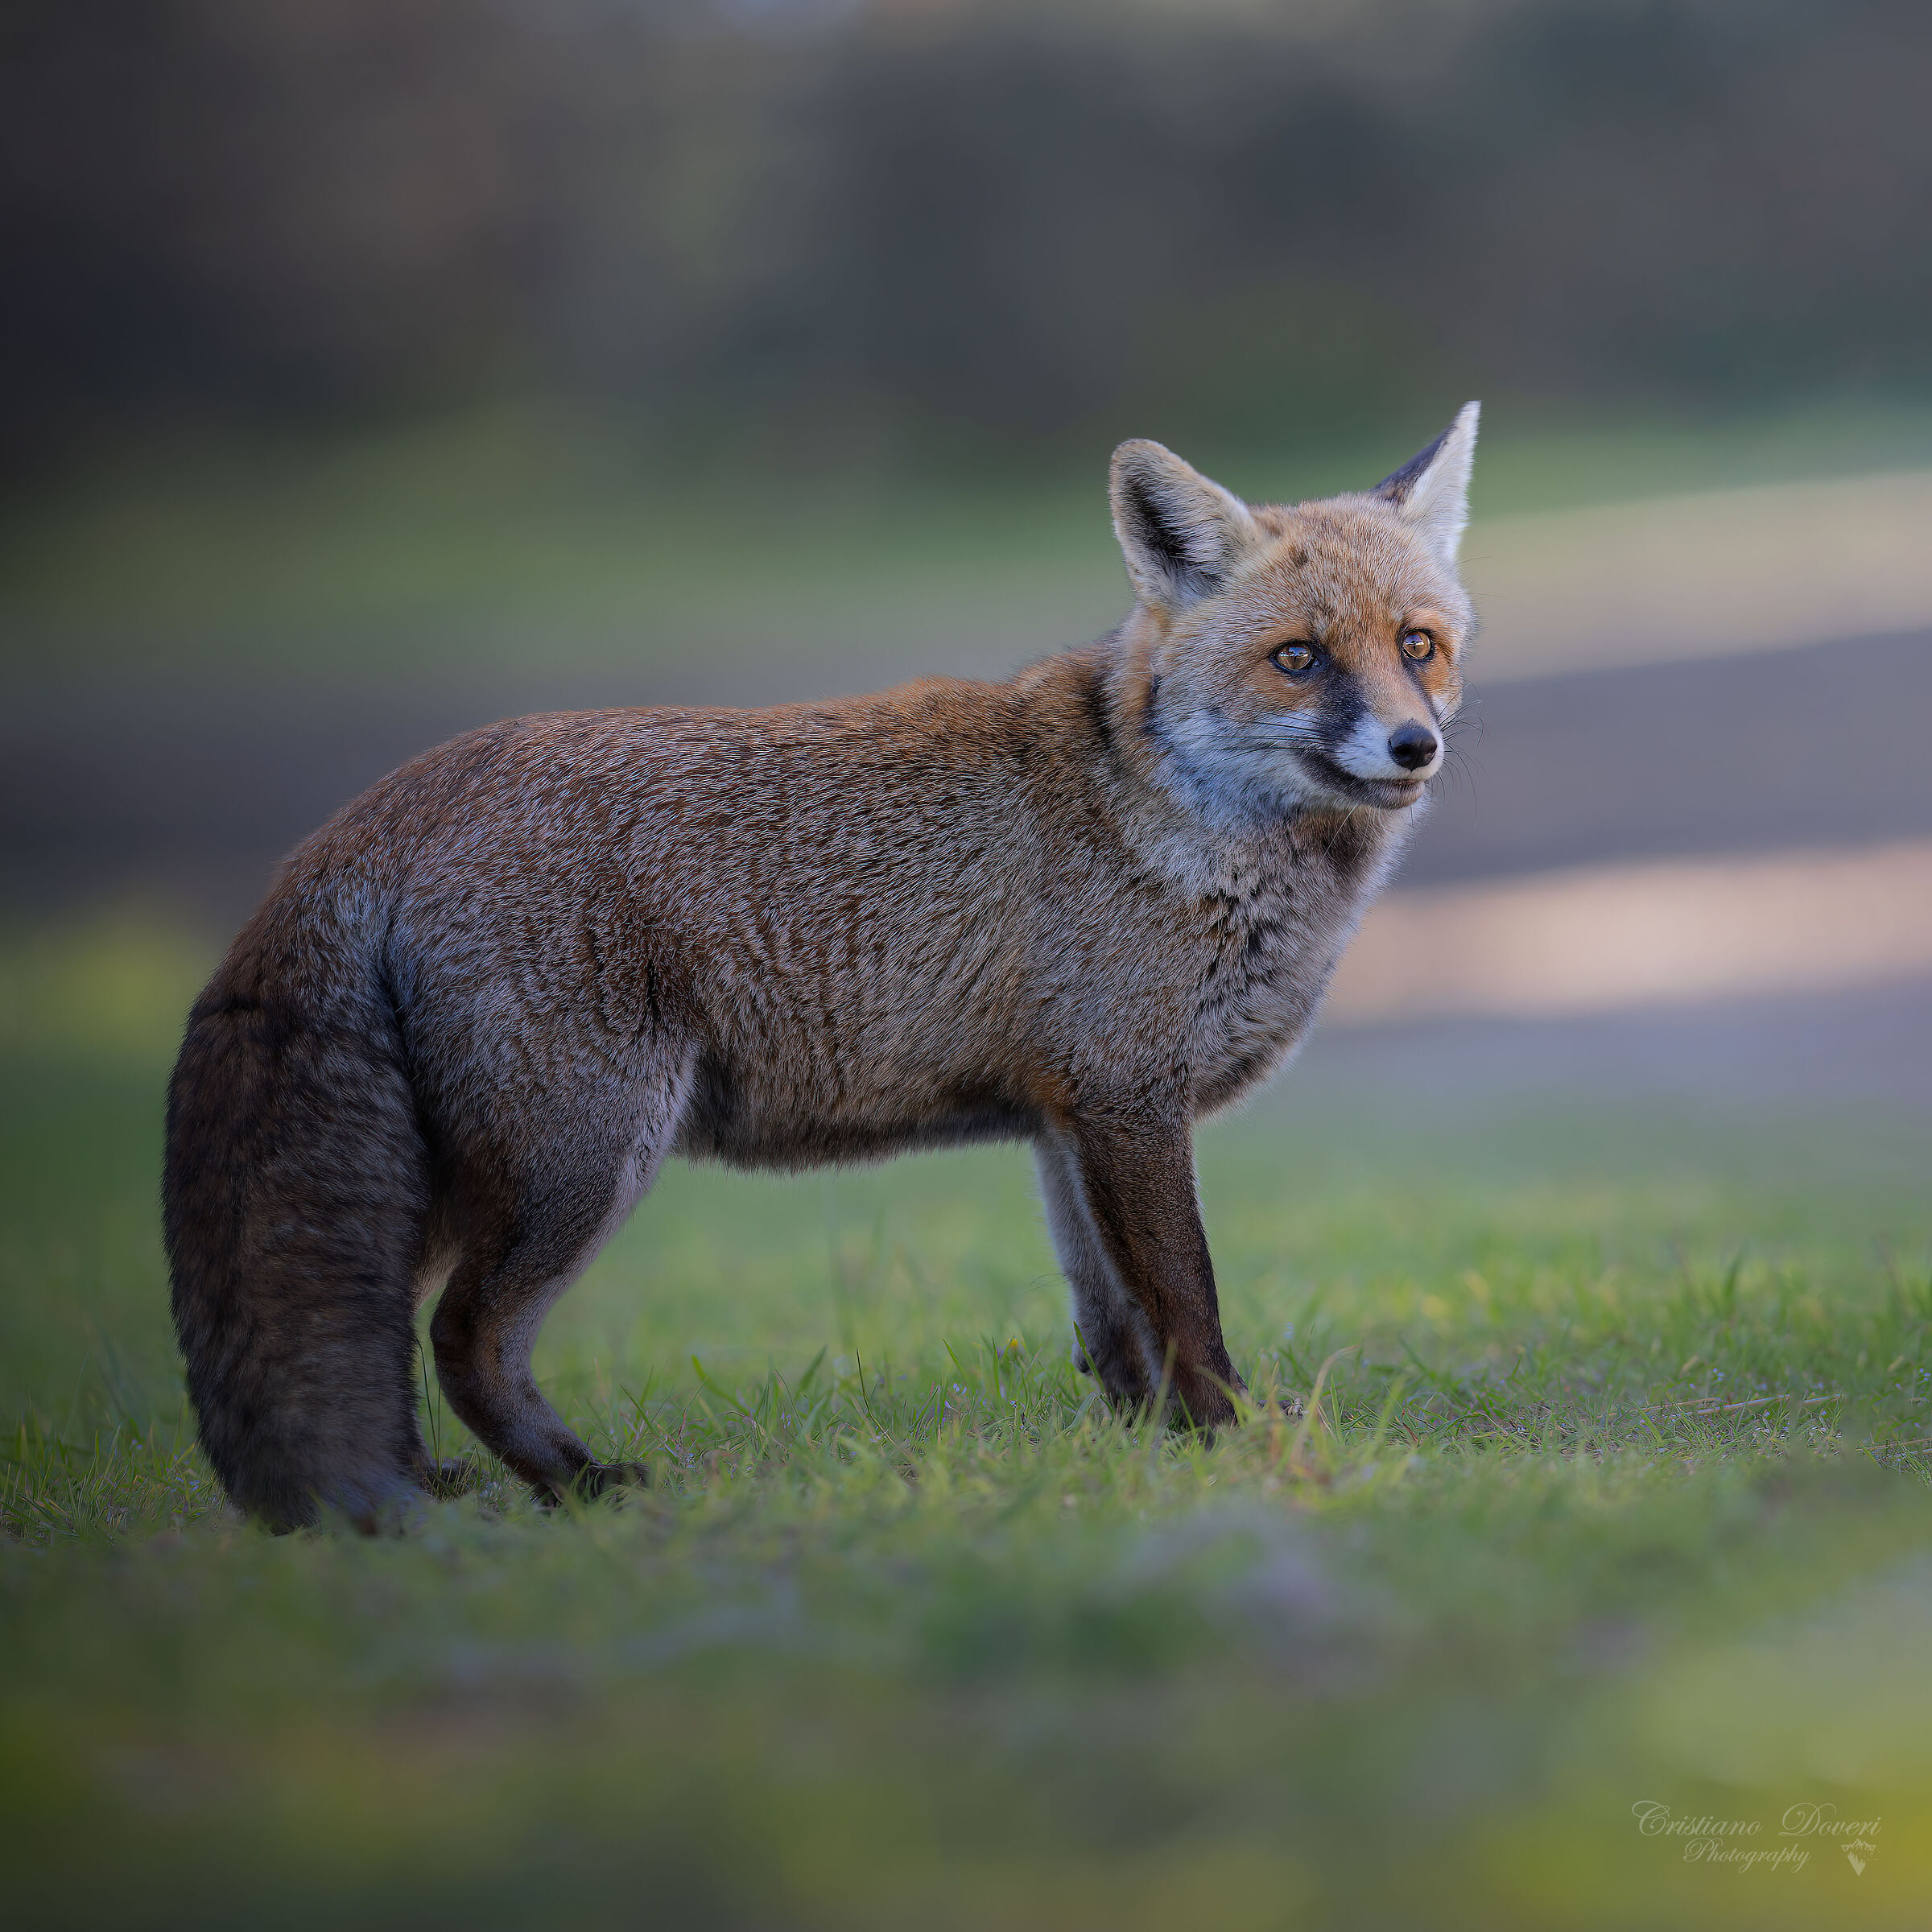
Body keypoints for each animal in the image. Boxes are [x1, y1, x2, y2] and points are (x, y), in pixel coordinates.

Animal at [163, 404, 1479, 1529]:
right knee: (463, 1339)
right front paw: (1235, 1448)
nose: (1416, 744)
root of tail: (370, 812)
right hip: (577, 1159)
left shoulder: (1068, 1118)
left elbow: (1115, 1334)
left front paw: (1144, 1459)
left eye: (1418, 646)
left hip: (466, 1174)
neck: (1172, 819)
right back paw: (581, 1489)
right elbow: (1188, 1308)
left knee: (408, 1329)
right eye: (1299, 659)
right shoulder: (1130, 1102)